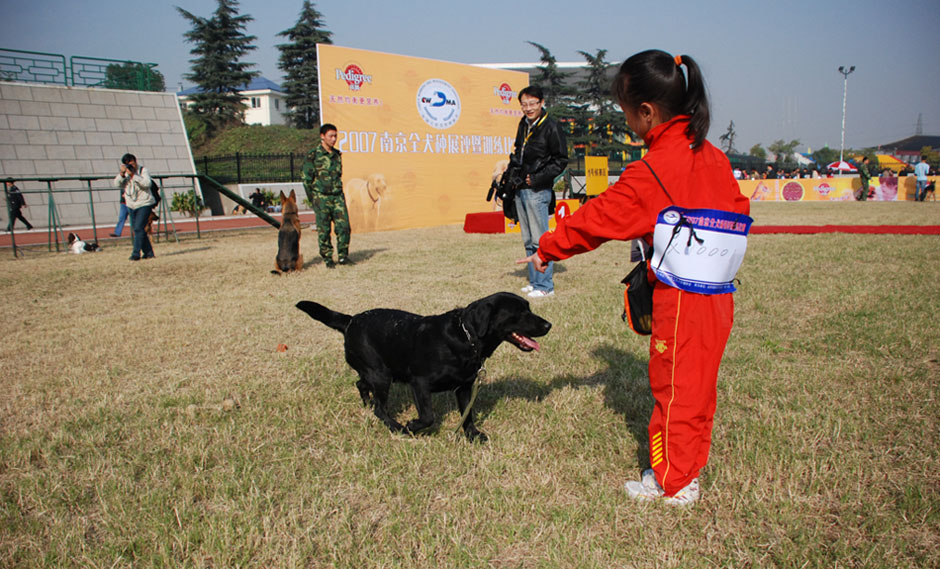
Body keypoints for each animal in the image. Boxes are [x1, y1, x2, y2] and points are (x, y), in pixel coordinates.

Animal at [298, 290, 552, 442]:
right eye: (520, 312)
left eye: (528, 308)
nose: (548, 325)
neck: (465, 336)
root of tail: (350, 320)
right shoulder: (419, 383)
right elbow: (428, 416)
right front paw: (412, 425)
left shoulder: (465, 387)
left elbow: (467, 415)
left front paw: (472, 435)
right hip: (381, 375)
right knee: (380, 408)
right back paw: (397, 427)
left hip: (377, 371)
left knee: (361, 385)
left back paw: (367, 404)